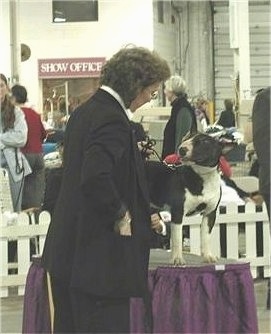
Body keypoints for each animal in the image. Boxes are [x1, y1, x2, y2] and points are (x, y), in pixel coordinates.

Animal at [144, 132, 232, 264]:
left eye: (205, 141)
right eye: (186, 138)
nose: (182, 149)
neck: (201, 176)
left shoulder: (210, 213)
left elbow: (206, 236)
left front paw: (208, 256)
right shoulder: (178, 212)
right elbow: (177, 238)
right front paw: (177, 259)